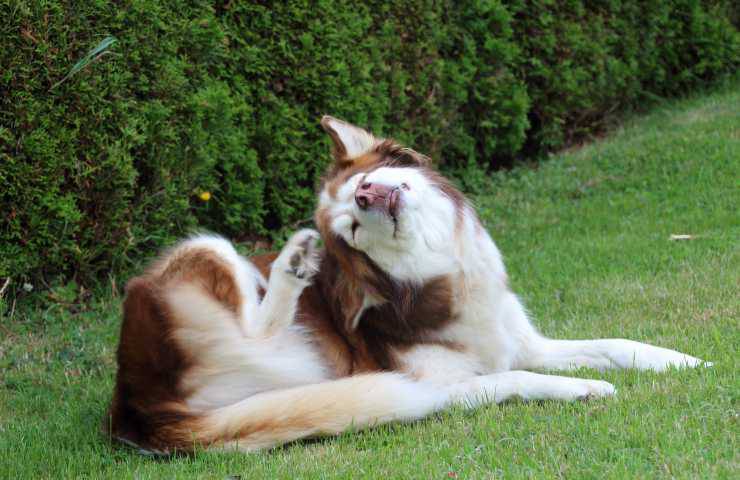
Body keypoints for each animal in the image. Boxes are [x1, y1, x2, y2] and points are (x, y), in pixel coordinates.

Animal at [107, 116, 708, 454]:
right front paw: (580, 388)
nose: (368, 195)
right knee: (257, 321)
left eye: (362, 184)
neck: (441, 275)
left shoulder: (521, 341)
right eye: (352, 227)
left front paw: (679, 360)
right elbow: (518, 378)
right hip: (209, 251)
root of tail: (136, 406)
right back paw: (292, 265)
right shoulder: (446, 382)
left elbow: (613, 344)